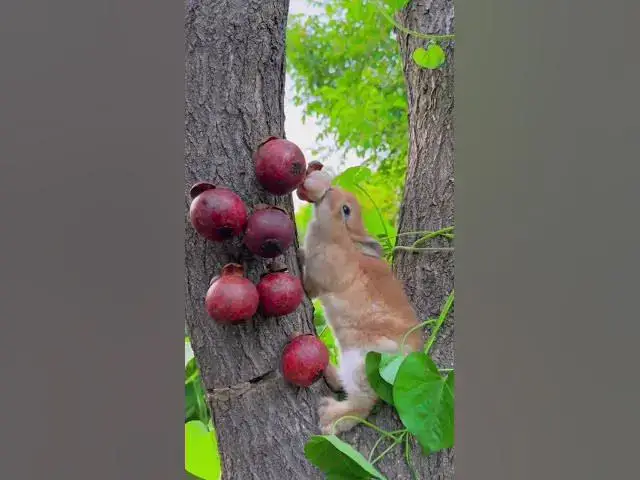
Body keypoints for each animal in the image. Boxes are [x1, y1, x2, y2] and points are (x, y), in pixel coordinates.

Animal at [297, 169, 424, 435]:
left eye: (346, 210)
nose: (328, 190)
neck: (345, 239)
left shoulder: (319, 278)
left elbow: (309, 285)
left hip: (360, 364)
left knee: (362, 405)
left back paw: (329, 417)